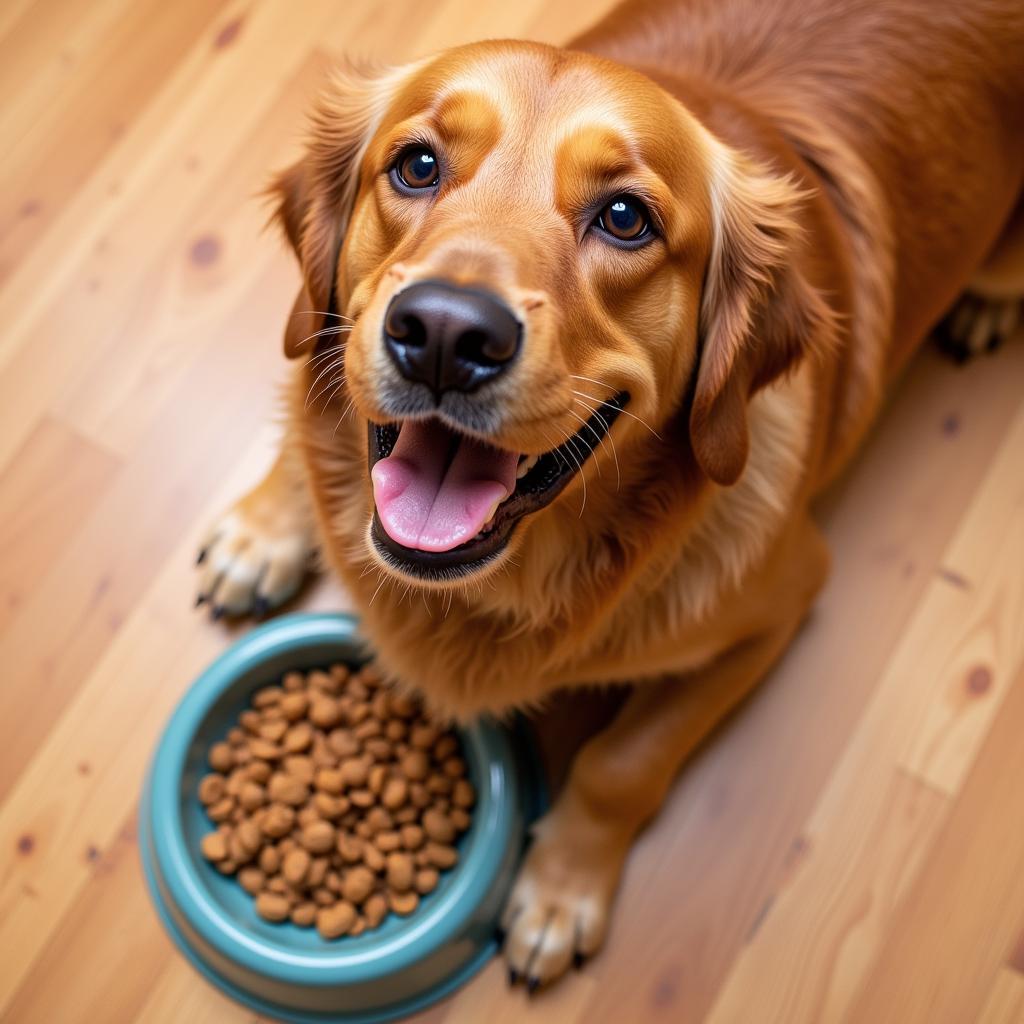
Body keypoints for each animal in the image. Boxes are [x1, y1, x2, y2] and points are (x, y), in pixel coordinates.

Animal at [193, 0, 1024, 991]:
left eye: (625, 218)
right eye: (417, 165)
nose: (444, 333)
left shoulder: (781, 602)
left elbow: (623, 760)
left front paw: (559, 893)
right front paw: (265, 528)